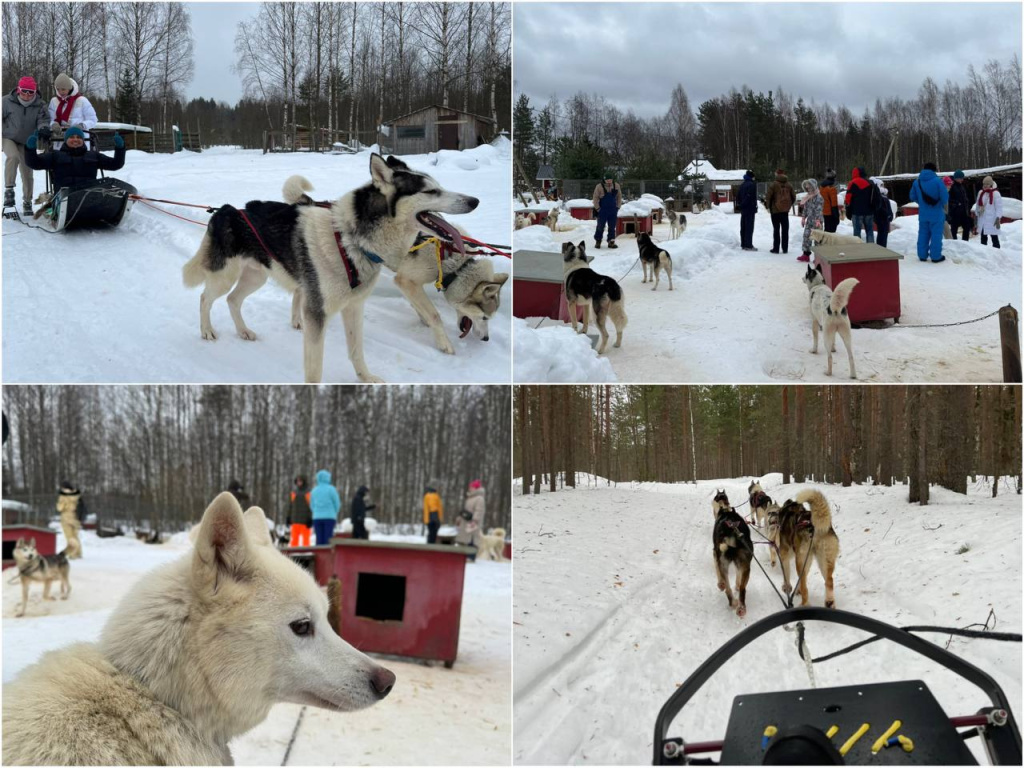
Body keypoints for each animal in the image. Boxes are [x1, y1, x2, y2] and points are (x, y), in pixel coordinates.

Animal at [184, 154, 479, 385]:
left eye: (439, 186)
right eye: (430, 192)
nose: (474, 201)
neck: (350, 240)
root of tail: (226, 210)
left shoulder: (354, 307)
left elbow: (356, 350)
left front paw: (365, 378)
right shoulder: (316, 313)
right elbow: (314, 369)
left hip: (255, 277)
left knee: (233, 300)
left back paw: (243, 331)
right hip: (224, 276)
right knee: (205, 297)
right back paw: (207, 331)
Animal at [284, 177, 507, 354]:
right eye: (485, 317)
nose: (486, 339)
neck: (449, 258)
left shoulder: (408, 284)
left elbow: (421, 307)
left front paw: (423, 318)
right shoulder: (406, 280)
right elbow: (434, 314)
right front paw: (443, 342)